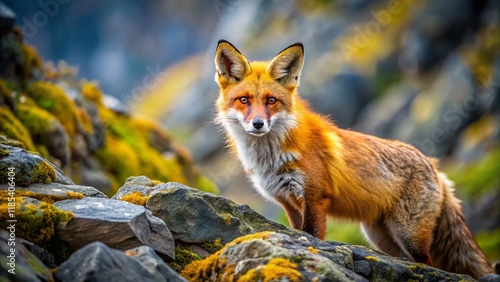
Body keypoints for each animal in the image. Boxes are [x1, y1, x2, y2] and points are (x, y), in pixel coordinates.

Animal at [213, 40, 494, 280]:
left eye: (271, 101)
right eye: (244, 100)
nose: (258, 124)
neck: (270, 157)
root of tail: (435, 167)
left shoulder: (315, 197)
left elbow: (312, 236)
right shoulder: (288, 202)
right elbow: (299, 231)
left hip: (409, 236)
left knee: (429, 264)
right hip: (382, 238)